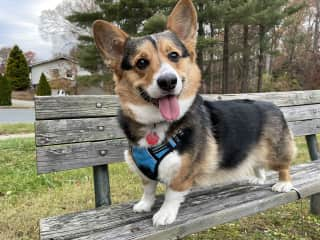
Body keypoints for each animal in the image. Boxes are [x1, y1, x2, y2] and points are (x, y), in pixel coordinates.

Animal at [92, 0, 296, 227]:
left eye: (173, 55)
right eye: (141, 62)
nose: (168, 81)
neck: (156, 124)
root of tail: (273, 105)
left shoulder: (183, 172)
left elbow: (172, 193)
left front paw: (164, 214)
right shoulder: (144, 173)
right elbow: (148, 188)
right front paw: (144, 205)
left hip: (275, 152)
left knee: (283, 166)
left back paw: (283, 184)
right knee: (257, 164)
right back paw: (258, 178)